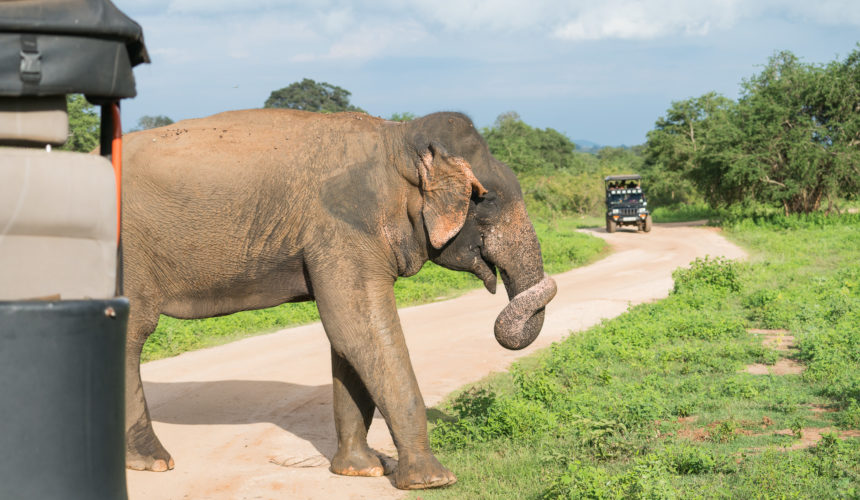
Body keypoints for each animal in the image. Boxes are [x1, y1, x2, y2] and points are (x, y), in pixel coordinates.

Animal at [122, 109, 556, 488]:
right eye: (488, 199)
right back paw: (153, 461)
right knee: (133, 332)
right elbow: (359, 331)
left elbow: (348, 341)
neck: (396, 138)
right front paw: (433, 480)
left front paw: (362, 470)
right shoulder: (344, 229)